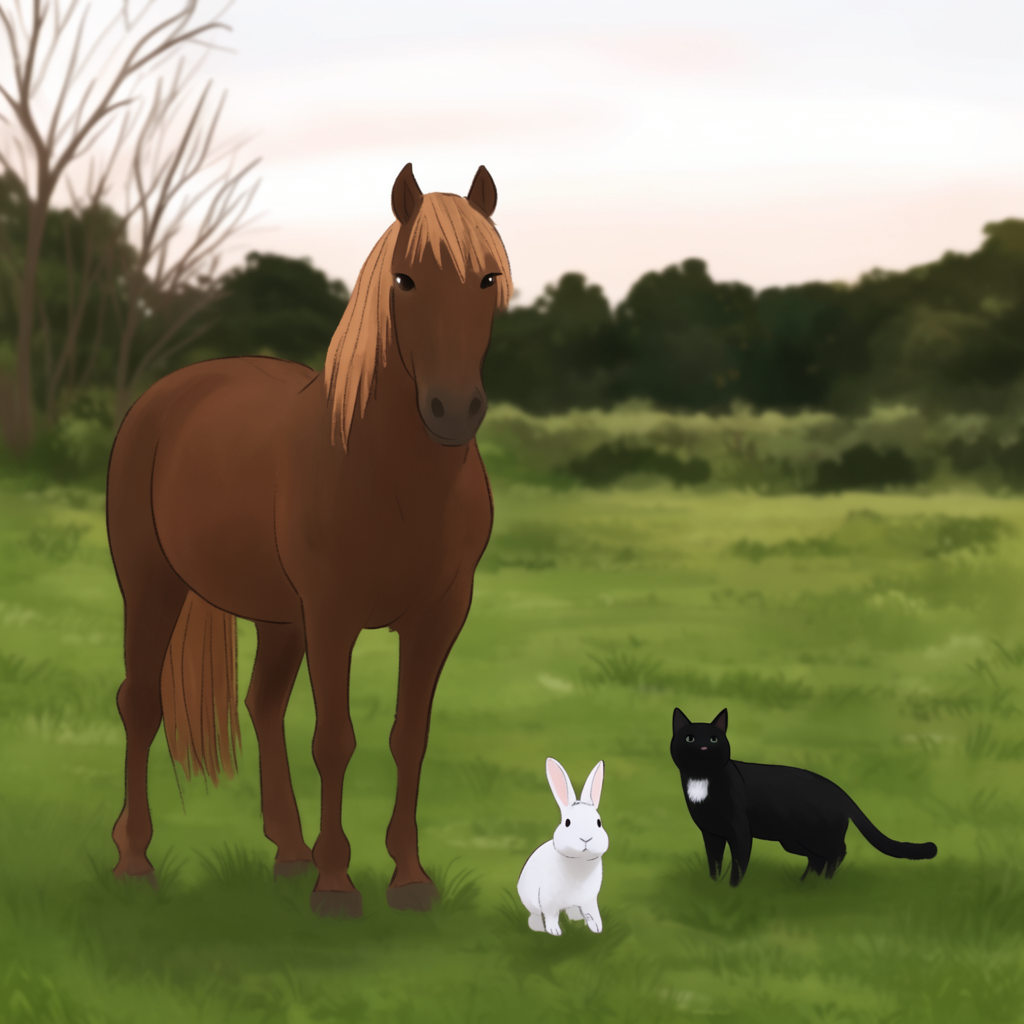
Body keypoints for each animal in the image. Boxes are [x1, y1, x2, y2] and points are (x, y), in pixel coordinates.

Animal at [106, 163, 513, 917]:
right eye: (404, 279)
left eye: (488, 278)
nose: (453, 410)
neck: (392, 476)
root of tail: (167, 393)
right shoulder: (331, 615)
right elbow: (334, 740)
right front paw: (337, 885)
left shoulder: (440, 615)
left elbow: (409, 738)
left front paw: (408, 878)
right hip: (151, 581)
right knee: (140, 703)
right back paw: (134, 860)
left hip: (278, 617)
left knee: (262, 706)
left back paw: (289, 852)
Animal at [516, 757, 608, 936]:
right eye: (567, 822)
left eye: (598, 823)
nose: (586, 838)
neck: (579, 862)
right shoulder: (548, 900)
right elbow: (551, 915)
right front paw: (554, 931)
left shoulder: (590, 900)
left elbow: (593, 914)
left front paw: (597, 928)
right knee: (536, 915)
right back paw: (538, 927)